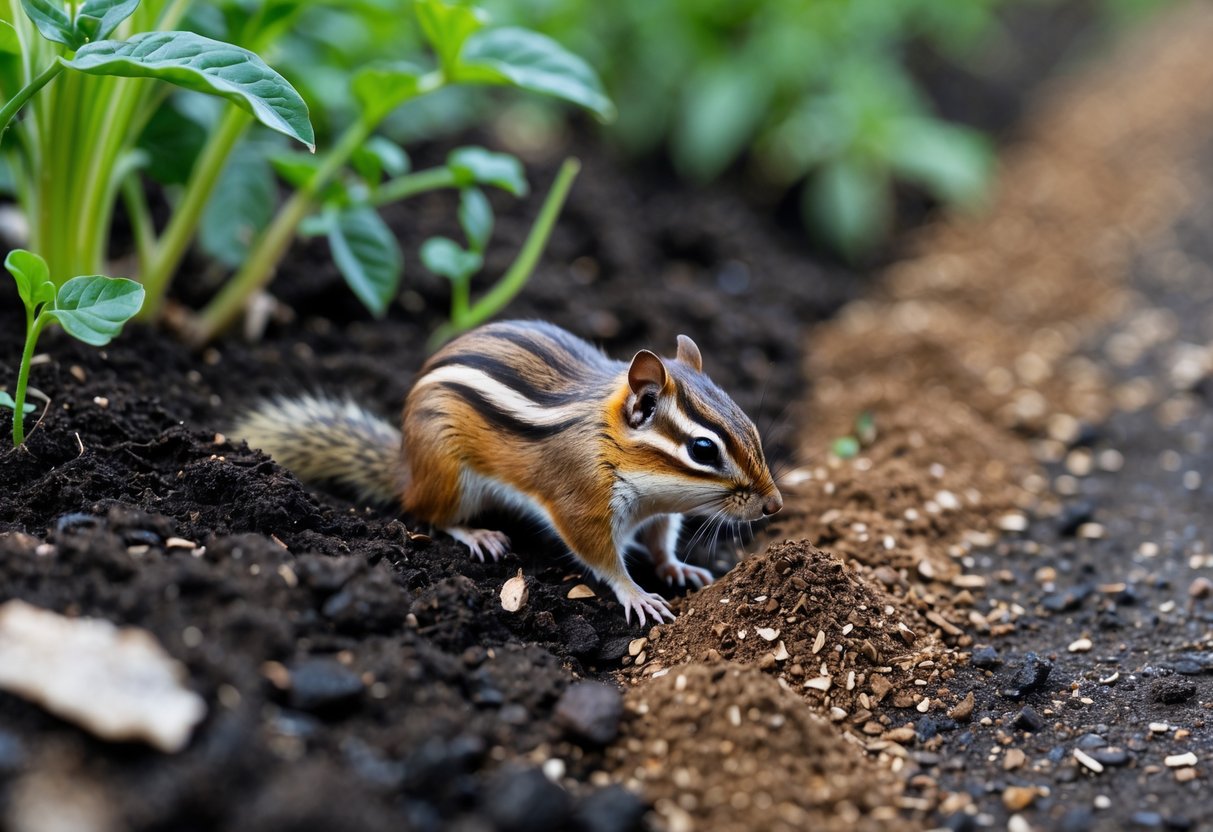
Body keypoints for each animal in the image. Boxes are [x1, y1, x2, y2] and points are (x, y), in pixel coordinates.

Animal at [234, 320, 782, 625]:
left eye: (750, 425)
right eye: (703, 449)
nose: (774, 505)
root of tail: (406, 466)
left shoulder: (662, 511)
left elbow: (663, 538)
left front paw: (675, 568)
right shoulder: (581, 500)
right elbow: (601, 557)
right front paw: (638, 593)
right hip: (449, 476)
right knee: (430, 514)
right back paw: (477, 534)